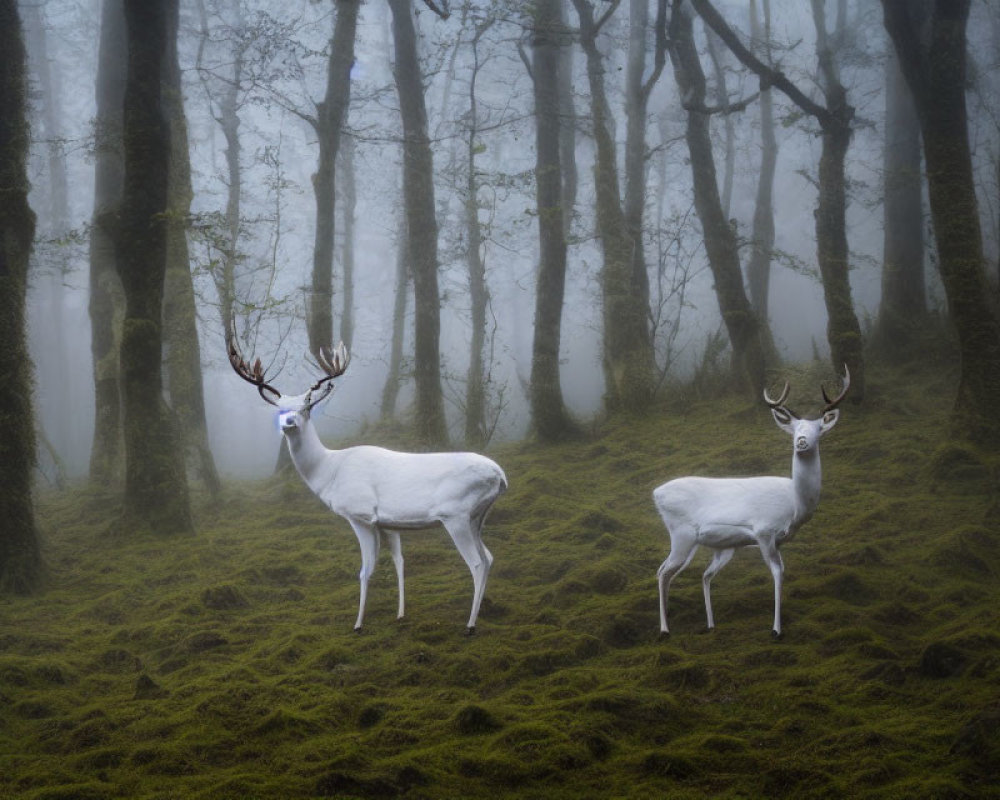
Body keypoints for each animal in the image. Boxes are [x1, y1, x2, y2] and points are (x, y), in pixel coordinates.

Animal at [227, 328, 508, 636]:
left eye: (306, 406)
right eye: (279, 408)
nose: (288, 422)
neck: (329, 471)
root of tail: (501, 476)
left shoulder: (359, 513)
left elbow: (365, 570)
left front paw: (358, 624)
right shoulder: (388, 522)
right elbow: (399, 561)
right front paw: (400, 614)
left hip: (456, 514)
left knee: (477, 563)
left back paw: (470, 624)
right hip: (477, 516)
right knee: (490, 557)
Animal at [652, 368, 848, 636]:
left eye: (818, 428)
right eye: (794, 428)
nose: (801, 441)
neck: (795, 506)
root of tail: (656, 494)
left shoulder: (778, 540)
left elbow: (781, 571)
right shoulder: (764, 530)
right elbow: (777, 573)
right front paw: (776, 629)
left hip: (719, 546)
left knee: (701, 574)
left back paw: (710, 624)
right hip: (681, 535)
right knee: (663, 571)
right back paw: (664, 629)